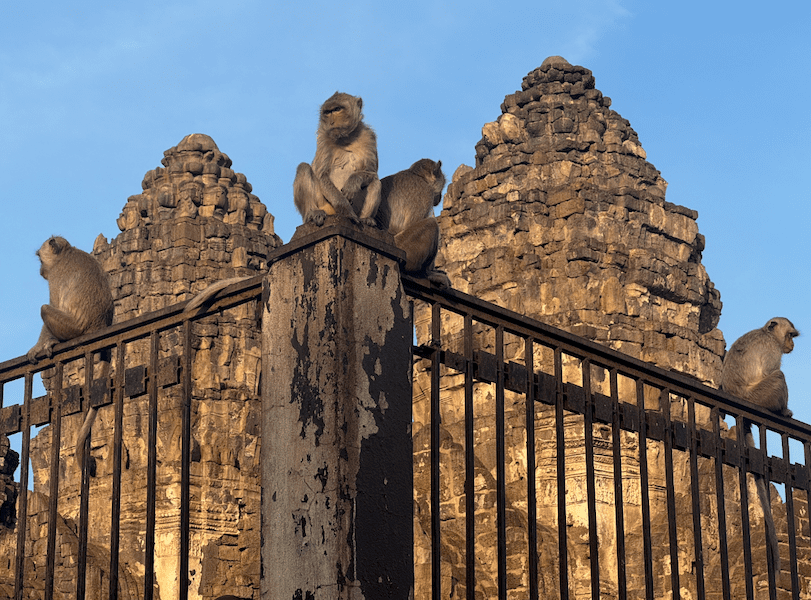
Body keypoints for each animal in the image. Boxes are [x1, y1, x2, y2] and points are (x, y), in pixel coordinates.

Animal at [26, 236, 115, 473]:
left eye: (40, 257)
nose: (40, 270)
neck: (65, 254)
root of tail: (99, 326)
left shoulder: (56, 276)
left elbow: (53, 304)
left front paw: (38, 347)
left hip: (72, 328)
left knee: (45, 309)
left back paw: (54, 341)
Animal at [293, 92, 381, 227]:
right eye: (328, 112)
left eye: (337, 109)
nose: (332, 122)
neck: (346, 138)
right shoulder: (323, 138)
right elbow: (321, 175)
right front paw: (347, 211)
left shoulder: (369, 137)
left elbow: (370, 172)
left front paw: (352, 182)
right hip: (324, 204)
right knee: (303, 167)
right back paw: (312, 213)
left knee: (375, 181)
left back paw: (366, 219)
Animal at [376, 159, 451, 287]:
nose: (440, 197)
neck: (419, 176)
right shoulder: (425, 194)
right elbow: (413, 223)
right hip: (405, 250)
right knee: (431, 224)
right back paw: (425, 273)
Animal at [721, 316, 800, 575]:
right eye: (790, 335)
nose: (791, 345)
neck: (767, 334)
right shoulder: (771, 349)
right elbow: (769, 371)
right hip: (759, 397)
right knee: (778, 376)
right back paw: (783, 411)